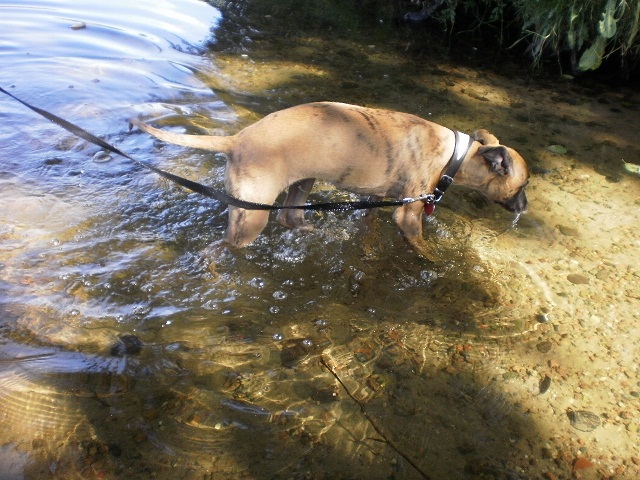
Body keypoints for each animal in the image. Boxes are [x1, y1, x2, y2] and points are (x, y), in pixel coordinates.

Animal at [133, 102, 529, 258]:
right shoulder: (407, 213)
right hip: (252, 215)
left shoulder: (377, 200)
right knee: (219, 246)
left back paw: (315, 230)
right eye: (524, 186)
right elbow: (421, 245)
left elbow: (368, 228)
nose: (525, 207)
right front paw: (435, 261)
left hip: (301, 183)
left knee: (290, 217)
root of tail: (236, 140)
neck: (454, 154)